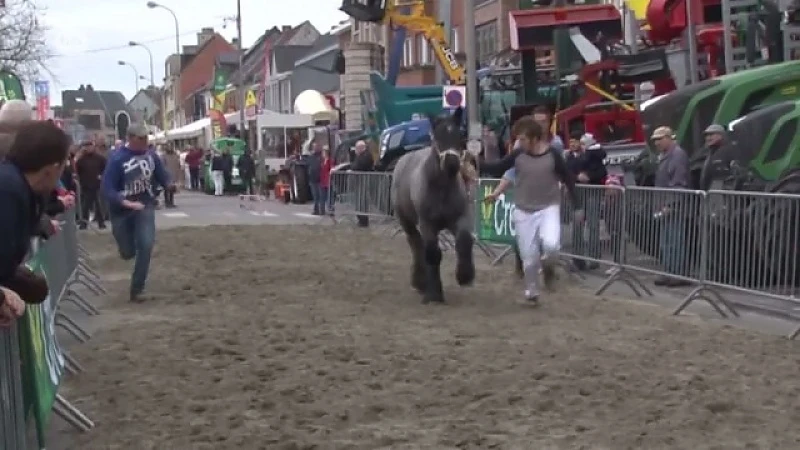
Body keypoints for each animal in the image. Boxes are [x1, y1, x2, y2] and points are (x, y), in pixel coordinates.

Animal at [390, 106, 472, 302]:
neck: (441, 188)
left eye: (460, 135)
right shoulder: (427, 223)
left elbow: (464, 241)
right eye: (437, 137)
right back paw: (421, 282)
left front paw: (465, 275)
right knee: (416, 245)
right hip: (407, 221)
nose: (452, 164)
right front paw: (434, 293)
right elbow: (433, 254)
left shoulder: (459, 217)